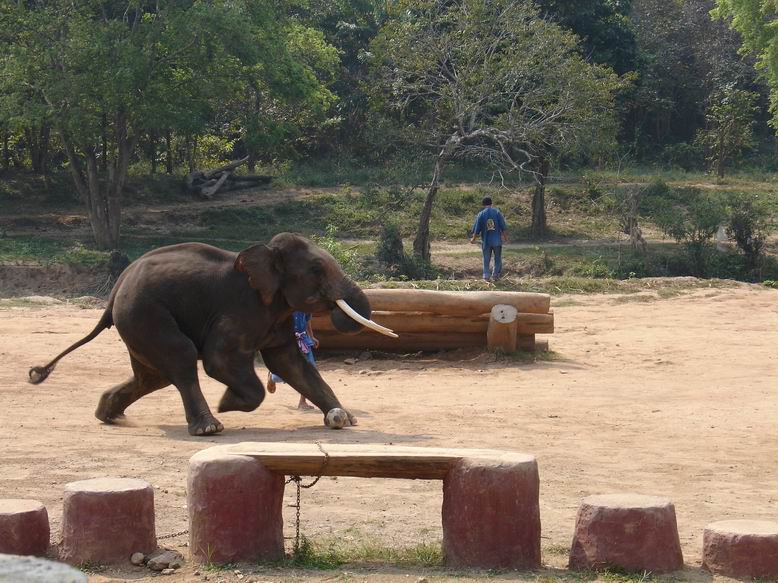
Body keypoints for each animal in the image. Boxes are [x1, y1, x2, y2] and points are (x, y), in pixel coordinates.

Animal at [28, 235, 394, 436]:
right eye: (316, 270)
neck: (264, 253)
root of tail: (117, 287)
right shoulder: (239, 310)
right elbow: (220, 360)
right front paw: (228, 402)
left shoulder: (277, 314)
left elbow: (290, 363)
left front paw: (344, 418)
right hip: (145, 314)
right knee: (181, 357)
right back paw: (209, 427)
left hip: (137, 323)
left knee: (153, 376)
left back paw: (109, 414)